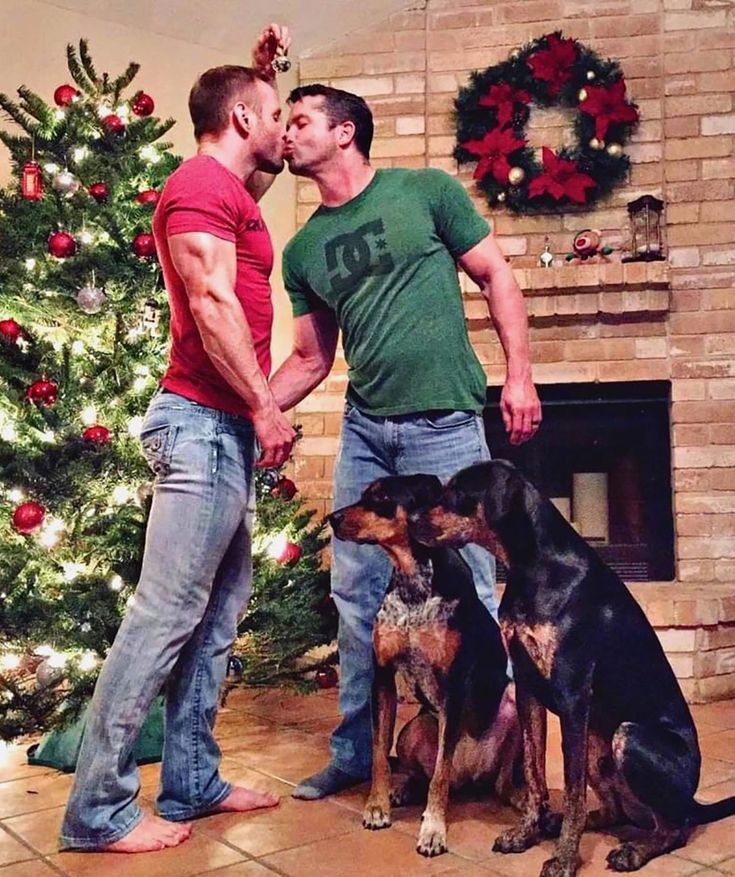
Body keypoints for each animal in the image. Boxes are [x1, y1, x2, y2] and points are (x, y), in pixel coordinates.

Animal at [328, 472, 524, 856]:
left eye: (381, 497)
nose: (332, 518)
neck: (412, 580)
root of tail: (470, 777)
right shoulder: (383, 678)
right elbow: (378, 754)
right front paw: (376, 807)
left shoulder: (453, 685)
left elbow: (440, 773)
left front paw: (433, 830)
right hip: (413, 728)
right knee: (420, 772)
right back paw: (402, 790)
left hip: (515, 705)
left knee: (497, 784)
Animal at [412, 458, 735, 876]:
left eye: (456, 492)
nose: (412, 520)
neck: (534, 567)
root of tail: (693, 797)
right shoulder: (528, 688)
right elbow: (535, 774)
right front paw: (527, 833)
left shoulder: (572, 696)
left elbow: (573, 792)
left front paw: (564, 859)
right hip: (600, 746)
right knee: (618, 811)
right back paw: (560, 823)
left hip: (627, 737)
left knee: (674, 827)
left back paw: (633, 851)